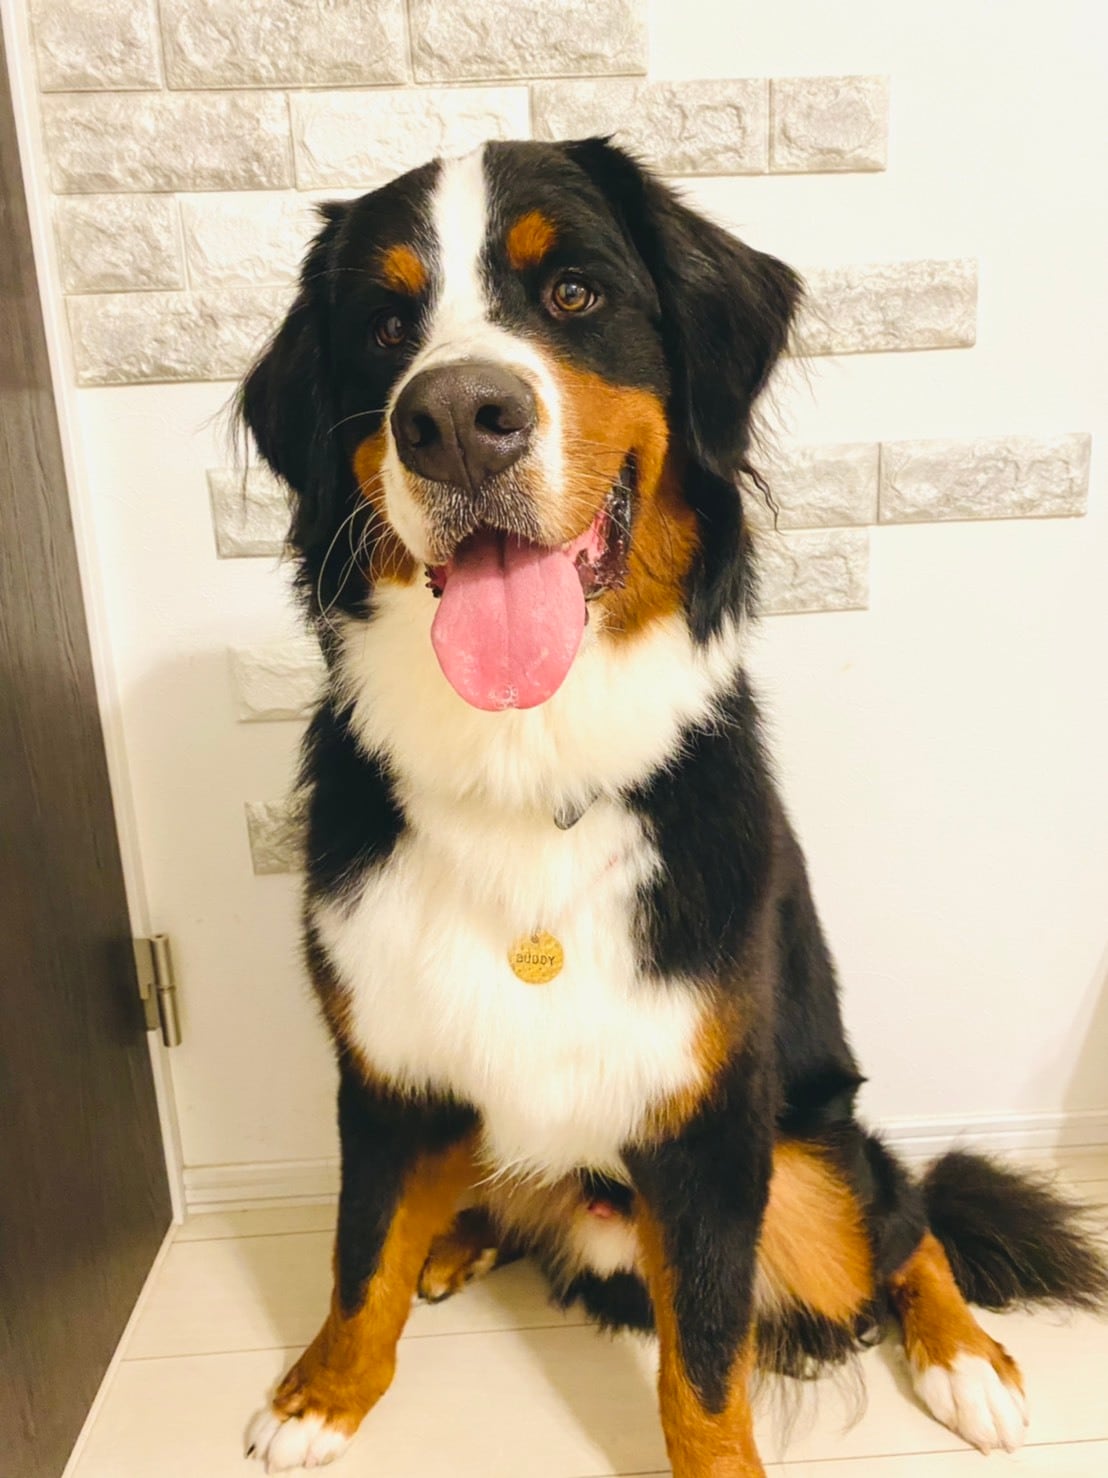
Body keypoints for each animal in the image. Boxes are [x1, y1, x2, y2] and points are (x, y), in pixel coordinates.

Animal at [239, 139, 1106, 1475]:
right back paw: (457, 1241)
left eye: (574, 293)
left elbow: (702, 1366)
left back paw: (967, 1361)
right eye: (384, 326)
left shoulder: (705, 1128)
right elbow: (359, 1256)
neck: (524, 763)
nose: (455, 420)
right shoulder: (388, 1069)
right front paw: (323, 1392)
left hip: (811, 1155)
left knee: (903, 1223)